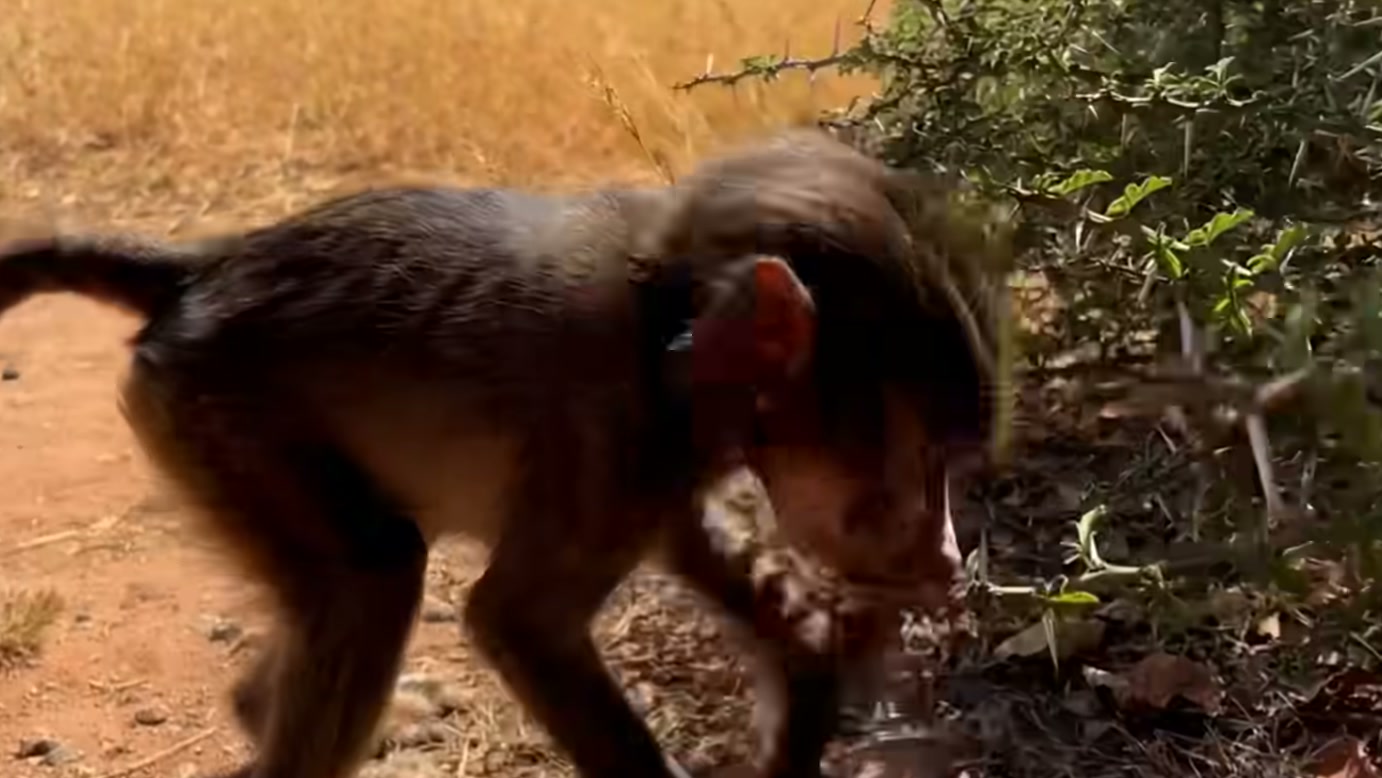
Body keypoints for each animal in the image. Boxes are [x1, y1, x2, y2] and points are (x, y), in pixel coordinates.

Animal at [0, 129, 1009, 778]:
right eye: (923, 458)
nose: (946, 557)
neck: (666, 325)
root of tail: (206, 269)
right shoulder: (609, 435)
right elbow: (517, 620)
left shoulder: (662, 466)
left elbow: (710, 561)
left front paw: (809, 684)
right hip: (212, 409)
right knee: (374, 577)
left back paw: (257, 707)